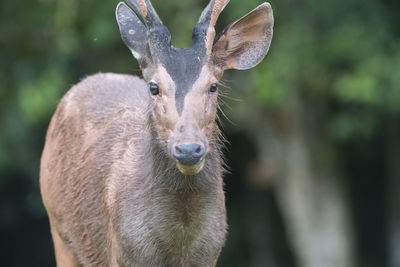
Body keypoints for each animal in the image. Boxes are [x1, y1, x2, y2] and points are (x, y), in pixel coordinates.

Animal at [39, 0, 274, 266]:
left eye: (213, 86)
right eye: (154, 87)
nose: (188, 149)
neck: (178, 247)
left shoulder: (211, 253)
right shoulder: (121, 253)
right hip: (58, 227)